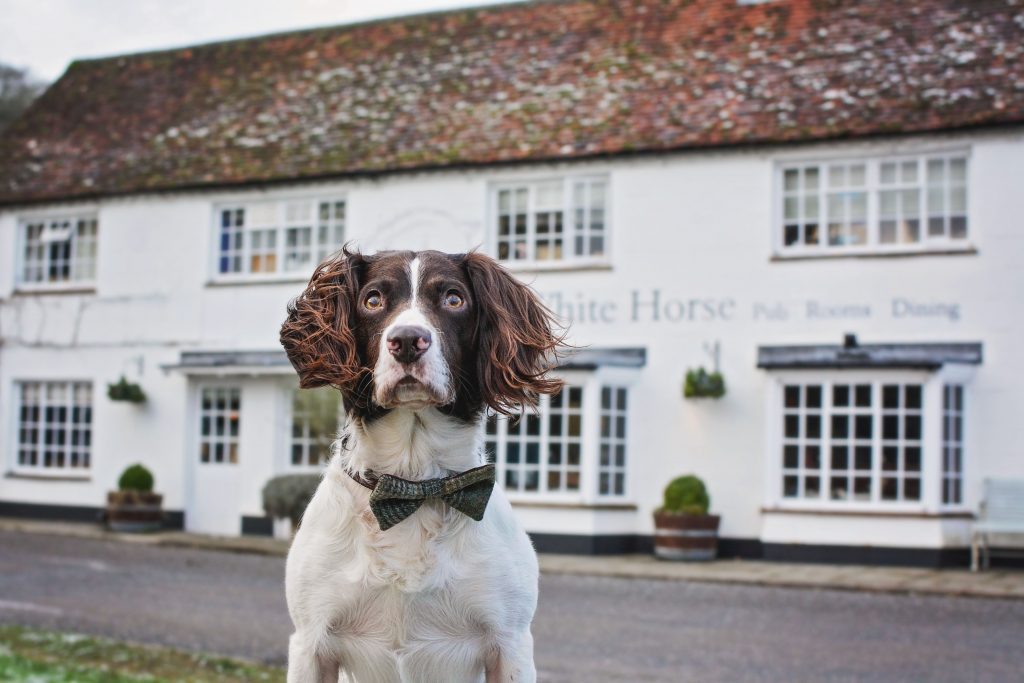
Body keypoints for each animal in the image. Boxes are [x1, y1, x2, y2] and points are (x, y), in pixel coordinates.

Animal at [278, 250, 561, 683]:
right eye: (373, 300)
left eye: (453, 299)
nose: (408, 341)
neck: (413, 485)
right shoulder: (310, 642)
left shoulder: (510, 645)